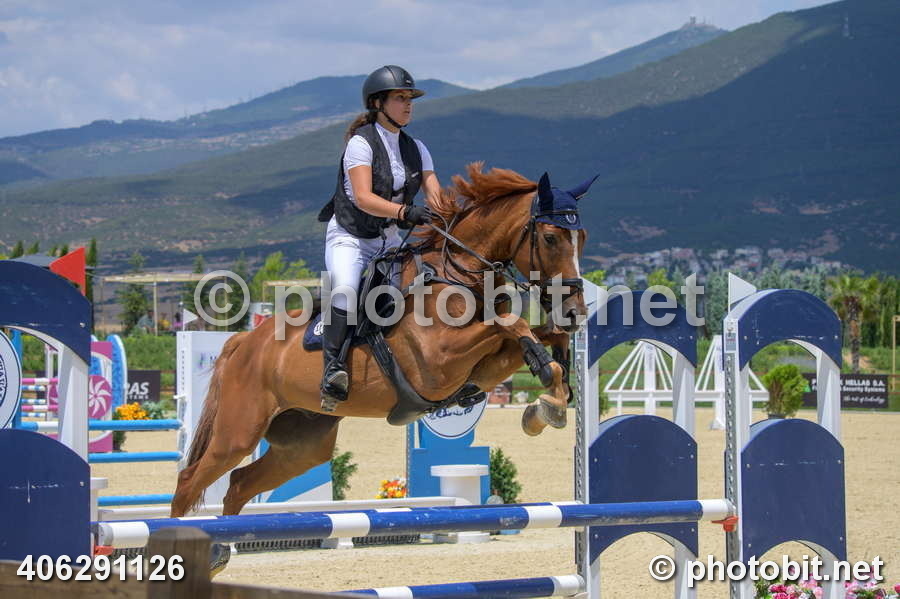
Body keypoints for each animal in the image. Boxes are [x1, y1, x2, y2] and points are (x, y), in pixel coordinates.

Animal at [170, 163, 597, 518]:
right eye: (550, 237)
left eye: (582, 237)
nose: (575, 311)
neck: (456, 273)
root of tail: (243, 342)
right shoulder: (438, 363)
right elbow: (510, 323)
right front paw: (547, 384)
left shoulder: (484, 368)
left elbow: (527, 335)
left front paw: (550, 399)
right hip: (237, 432)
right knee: (189, 481)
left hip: (303, 443)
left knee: (240, 484)